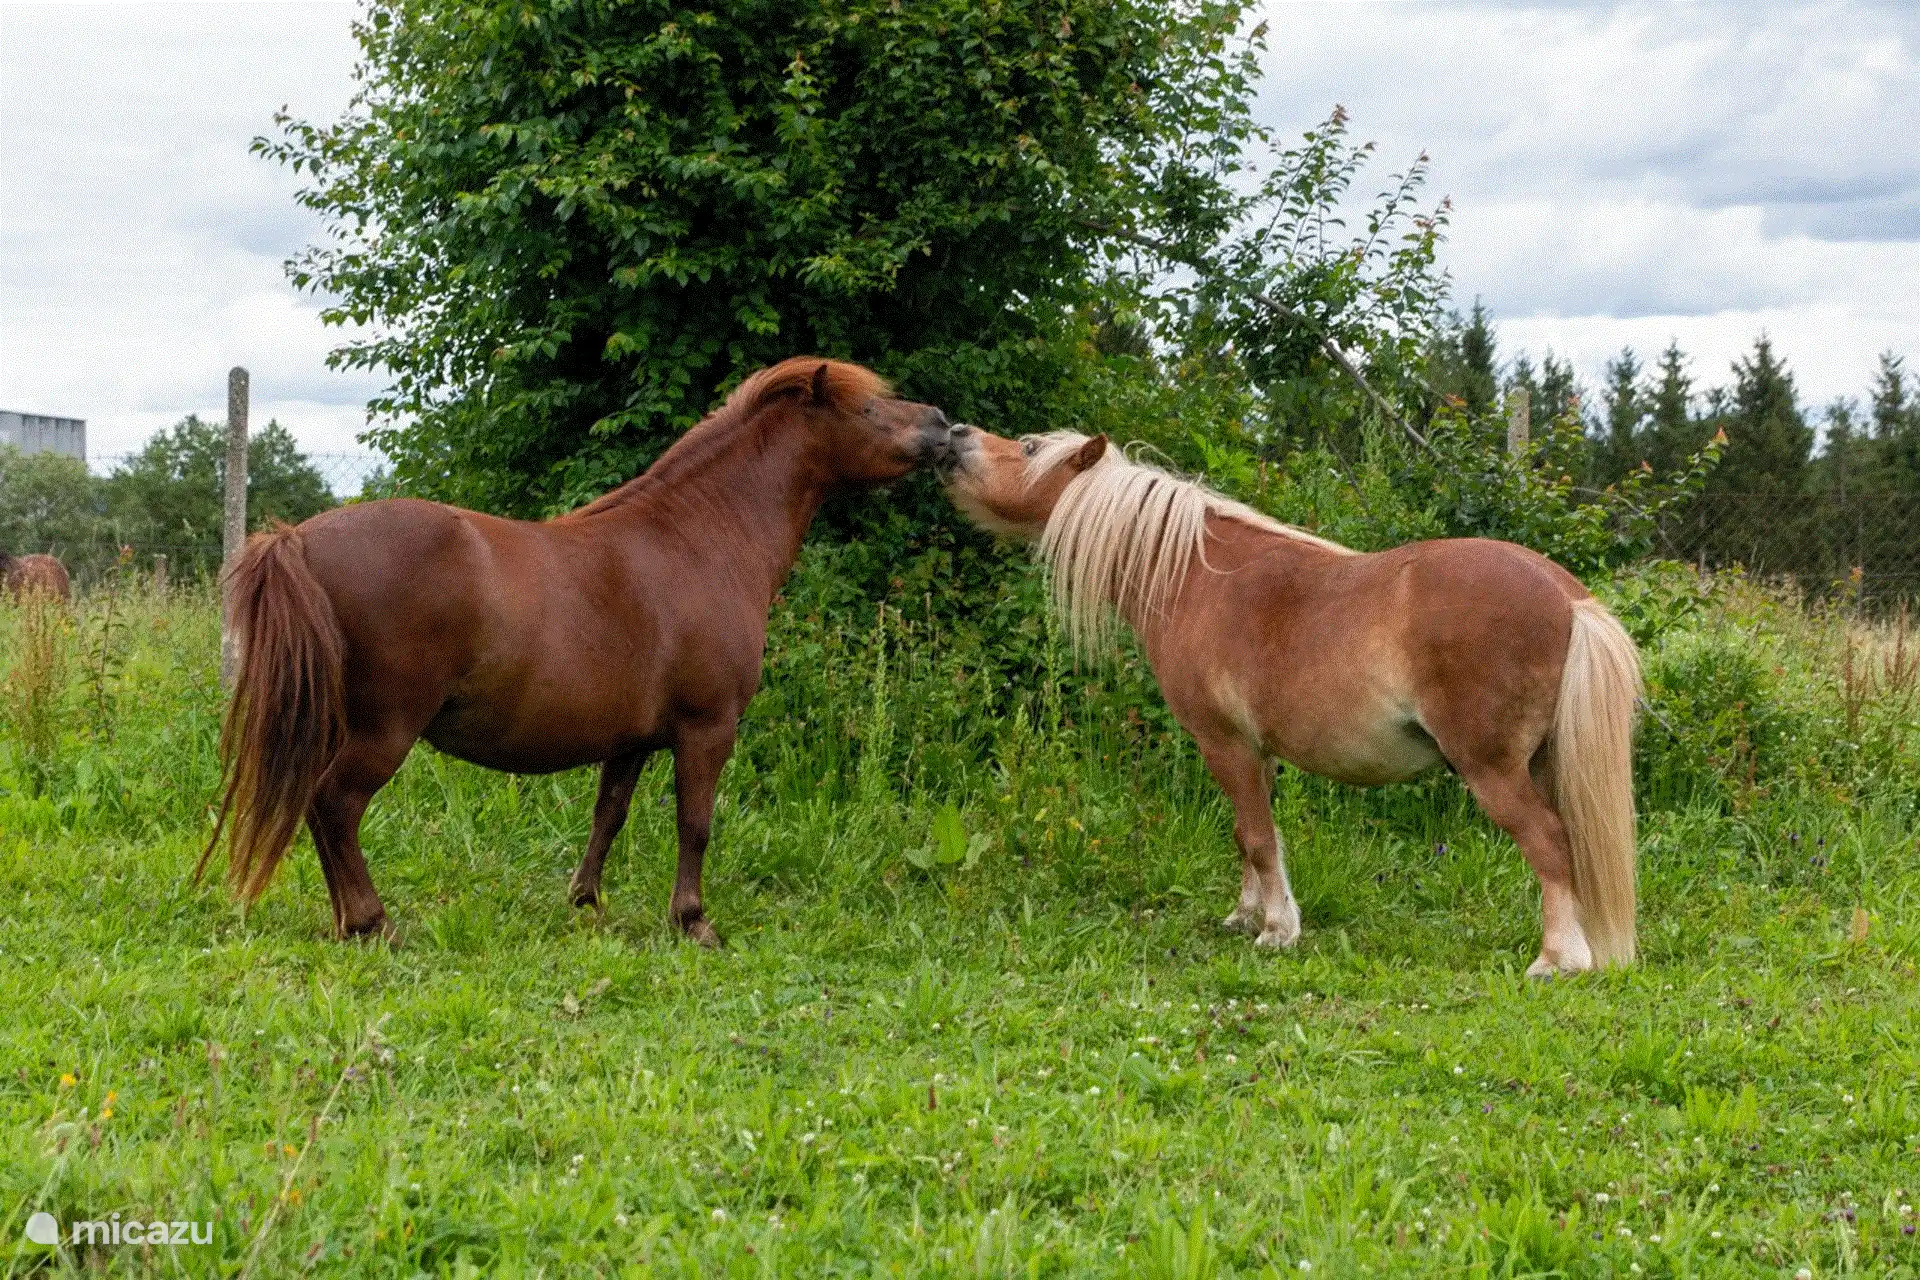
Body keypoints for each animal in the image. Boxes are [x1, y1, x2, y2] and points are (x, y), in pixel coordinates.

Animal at [199, 358, 962, 944]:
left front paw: (585, 902)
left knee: (319, 810)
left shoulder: (631, 740)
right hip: (383, 731)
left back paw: (346, 923)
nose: (945, 427)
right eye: (869, 405)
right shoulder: (707, 728)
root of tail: (299, 538)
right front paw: (693, 921)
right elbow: (695, 824)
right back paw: (371, 921)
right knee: (336, 805)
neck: (701, 536)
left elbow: (609, 817)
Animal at [944, 427, 1642, 975]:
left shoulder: (1224, 743)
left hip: (1492, 769)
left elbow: (1257, 837)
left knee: (1549, 842)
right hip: (1541, 762)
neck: (1194, 577)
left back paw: (1557, 960)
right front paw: (1245, 915)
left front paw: (1277, 930)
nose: (952, 434)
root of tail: (1566, 595)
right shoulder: (1257, 754)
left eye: (1029, 448)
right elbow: (1250, 835)